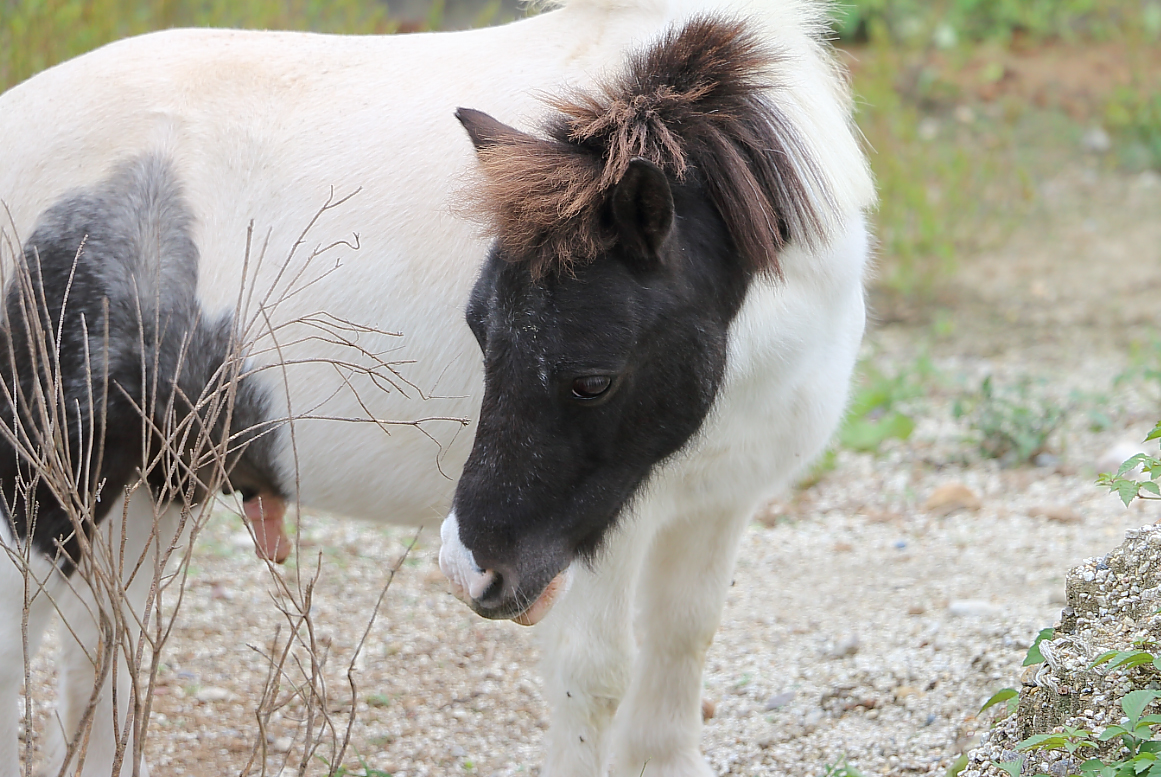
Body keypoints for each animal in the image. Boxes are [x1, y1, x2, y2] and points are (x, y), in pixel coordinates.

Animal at [0, 1, 873, 775]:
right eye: (479, 331)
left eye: (594, 379)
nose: (470, 567)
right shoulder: (609, 527)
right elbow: (594, 676)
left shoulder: (713, 503)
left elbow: (679, 650)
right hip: (44, 493)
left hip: (149, 485)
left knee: (98, 661)